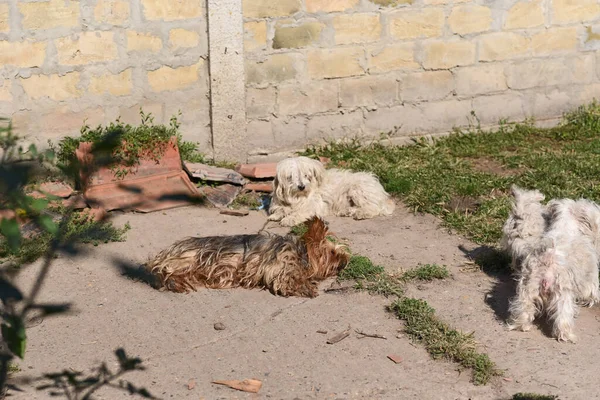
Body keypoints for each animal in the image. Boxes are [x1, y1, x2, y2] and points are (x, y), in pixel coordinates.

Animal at [145, 216, 350, 296]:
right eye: (332, 252)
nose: (346, 260)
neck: (301, 253)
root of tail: (168, 250)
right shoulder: (278, 266)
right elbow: (287, 279)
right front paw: (306, 286)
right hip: (187, 259)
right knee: (166, 271)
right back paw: (177, 282)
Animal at [506, 192, 600, 342]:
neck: (566, 227)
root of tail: (547, 264)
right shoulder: (590, 276)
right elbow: (591, 291)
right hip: (562, 295)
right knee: (563, 318)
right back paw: (567, 336)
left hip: (527, 290)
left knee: (523, 310)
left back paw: (521, 326)